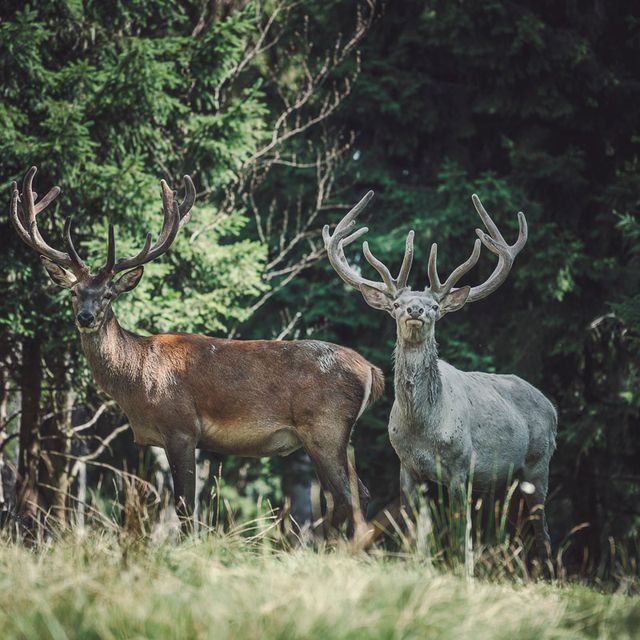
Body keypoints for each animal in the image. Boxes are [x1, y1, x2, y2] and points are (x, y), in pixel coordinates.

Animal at [10, 168, 382, 532]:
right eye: (74, 292)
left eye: (108, 294)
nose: (85, 317)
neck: (137, 379)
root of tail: (371, 371)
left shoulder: (181, 427)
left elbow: (186, 510)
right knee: (356, 496)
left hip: (325, 426)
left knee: (349, 498)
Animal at [322, 190, 556, 564]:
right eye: (397, 304)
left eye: (434, 306)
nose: (416, 309)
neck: (425, 429)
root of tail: (552, 407)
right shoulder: (406, 467)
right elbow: (415, 530)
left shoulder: (462, 466)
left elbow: (460, 532)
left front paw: (461, 566)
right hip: (505, 482)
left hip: (538, 463)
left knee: (542, 531)